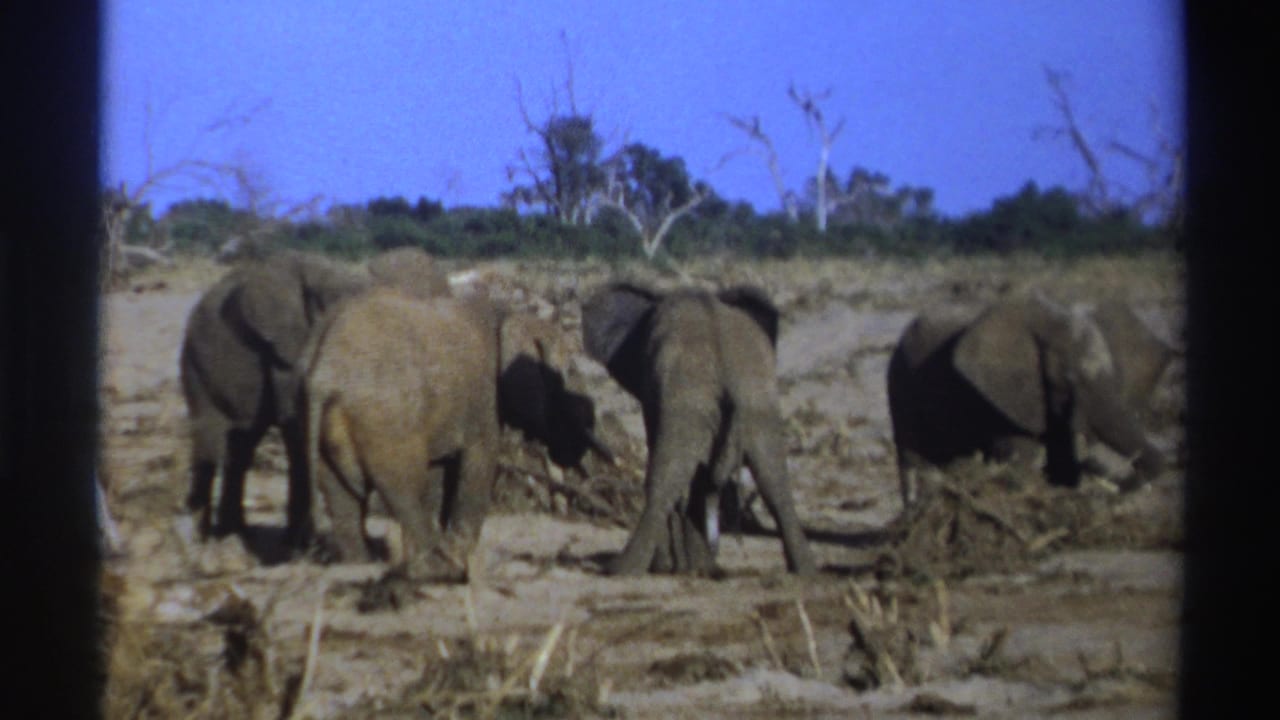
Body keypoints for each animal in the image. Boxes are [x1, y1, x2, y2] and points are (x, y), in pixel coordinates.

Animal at [179, 247, 450, 549]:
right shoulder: (285, 349)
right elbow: (297, 425)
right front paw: (301, 546)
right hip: (196, 361)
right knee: (210, 443)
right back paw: (203, 539)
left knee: (240, 445)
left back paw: (233, 535)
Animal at [301, 288, 608, 581]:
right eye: (565, 377)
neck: (506, 314)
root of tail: (326, 371)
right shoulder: (483, 400)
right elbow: (479, 462)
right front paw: (459, 551)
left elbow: (442, 473)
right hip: (387, 420)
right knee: (404, 487)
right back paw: (436, 568)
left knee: (339, 491)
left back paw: (361, 562)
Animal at [581, 282, 818, 576]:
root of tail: (727, 373)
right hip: (758, 404)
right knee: (774, 481)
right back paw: (805, 571)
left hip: (691, 401)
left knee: (666, 478)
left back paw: (623, 569)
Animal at [887, 290, 1175, 511]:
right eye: (1069, 379)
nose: (1092, 463)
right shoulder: (1003, 397)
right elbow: (1020, 457)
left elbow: (1059, 454)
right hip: (900, 385)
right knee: (913, 459)